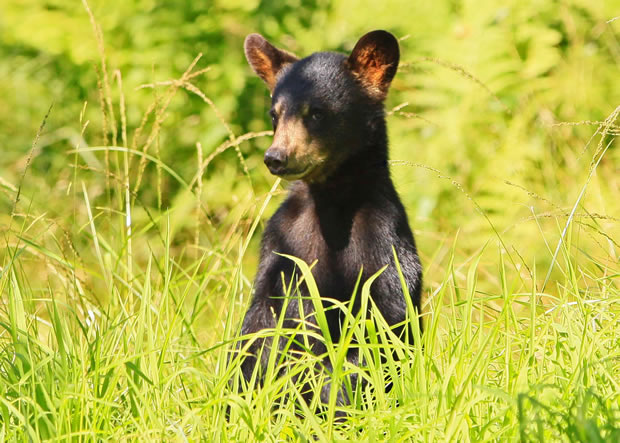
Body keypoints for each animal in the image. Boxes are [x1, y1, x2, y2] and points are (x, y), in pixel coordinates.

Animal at [236, 29, 422, 408]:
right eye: (274, 115)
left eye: (317, 113)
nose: (275, 157)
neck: (331, 205)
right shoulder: (280, 242)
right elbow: (261, 325)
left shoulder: (383, 239)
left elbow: (384, 323)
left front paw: (334, 398)